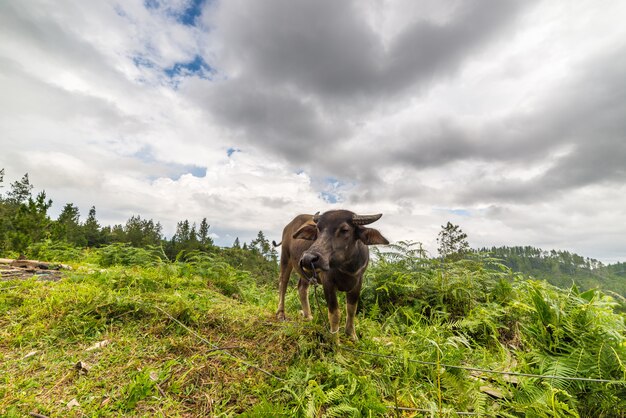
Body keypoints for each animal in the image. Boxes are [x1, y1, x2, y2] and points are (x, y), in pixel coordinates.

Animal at [272, 209, 386, 340]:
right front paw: (335, 340)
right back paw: (281, 313)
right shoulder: (328, 283)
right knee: (283, 283)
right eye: (318, 229)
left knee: (302, 288)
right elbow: (334, 313)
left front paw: (351, 335)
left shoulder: (358, 282)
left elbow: (352, 309)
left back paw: (308, 316)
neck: (346, 267)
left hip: (306, 271)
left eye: (345, 230)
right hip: (285, 258)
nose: (308, 258)